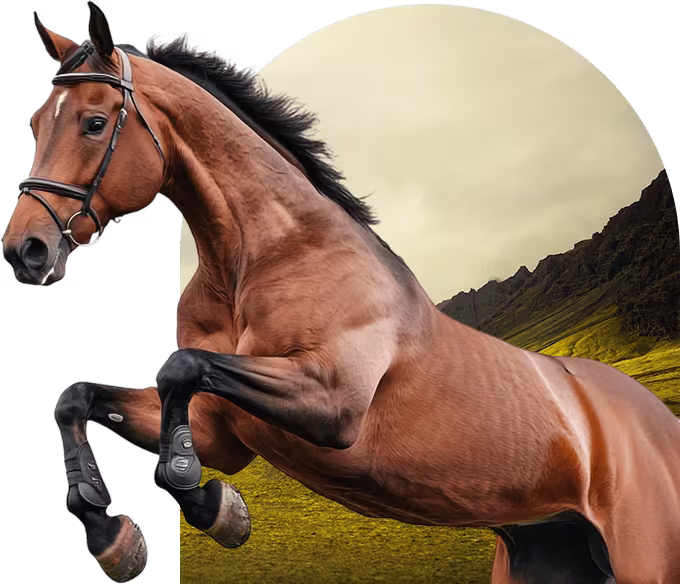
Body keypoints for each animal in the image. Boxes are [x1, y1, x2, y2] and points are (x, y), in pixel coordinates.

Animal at [3, 4, 679, 583]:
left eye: (94, 123)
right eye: (37, 123)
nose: (25, 250)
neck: (265, 257)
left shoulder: (331, 404)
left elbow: (181, 370)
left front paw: (212, 504)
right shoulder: (221, 429)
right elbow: (77, 398)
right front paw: (113, 535)